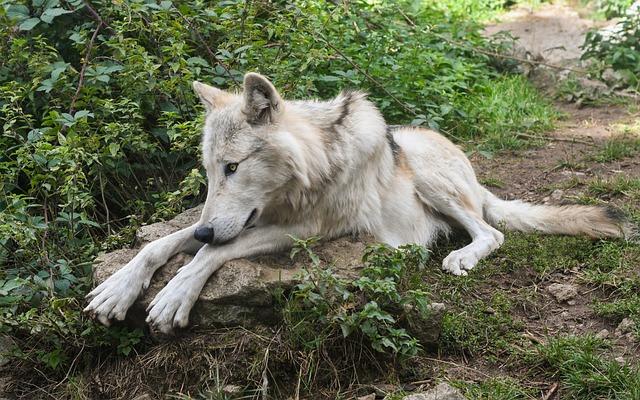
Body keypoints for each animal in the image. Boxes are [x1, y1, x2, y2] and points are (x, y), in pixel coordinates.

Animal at [82, 72, 632, 334]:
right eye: (211, 173)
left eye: (233, 168)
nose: (204, 228)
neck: (315, 166)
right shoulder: (236, 221)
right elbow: (163, 245)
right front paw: (117, 289)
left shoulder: (312, 228)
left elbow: (207, 254)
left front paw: (174, 296)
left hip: (426, 173)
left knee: (490, 231)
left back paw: (460, 255)